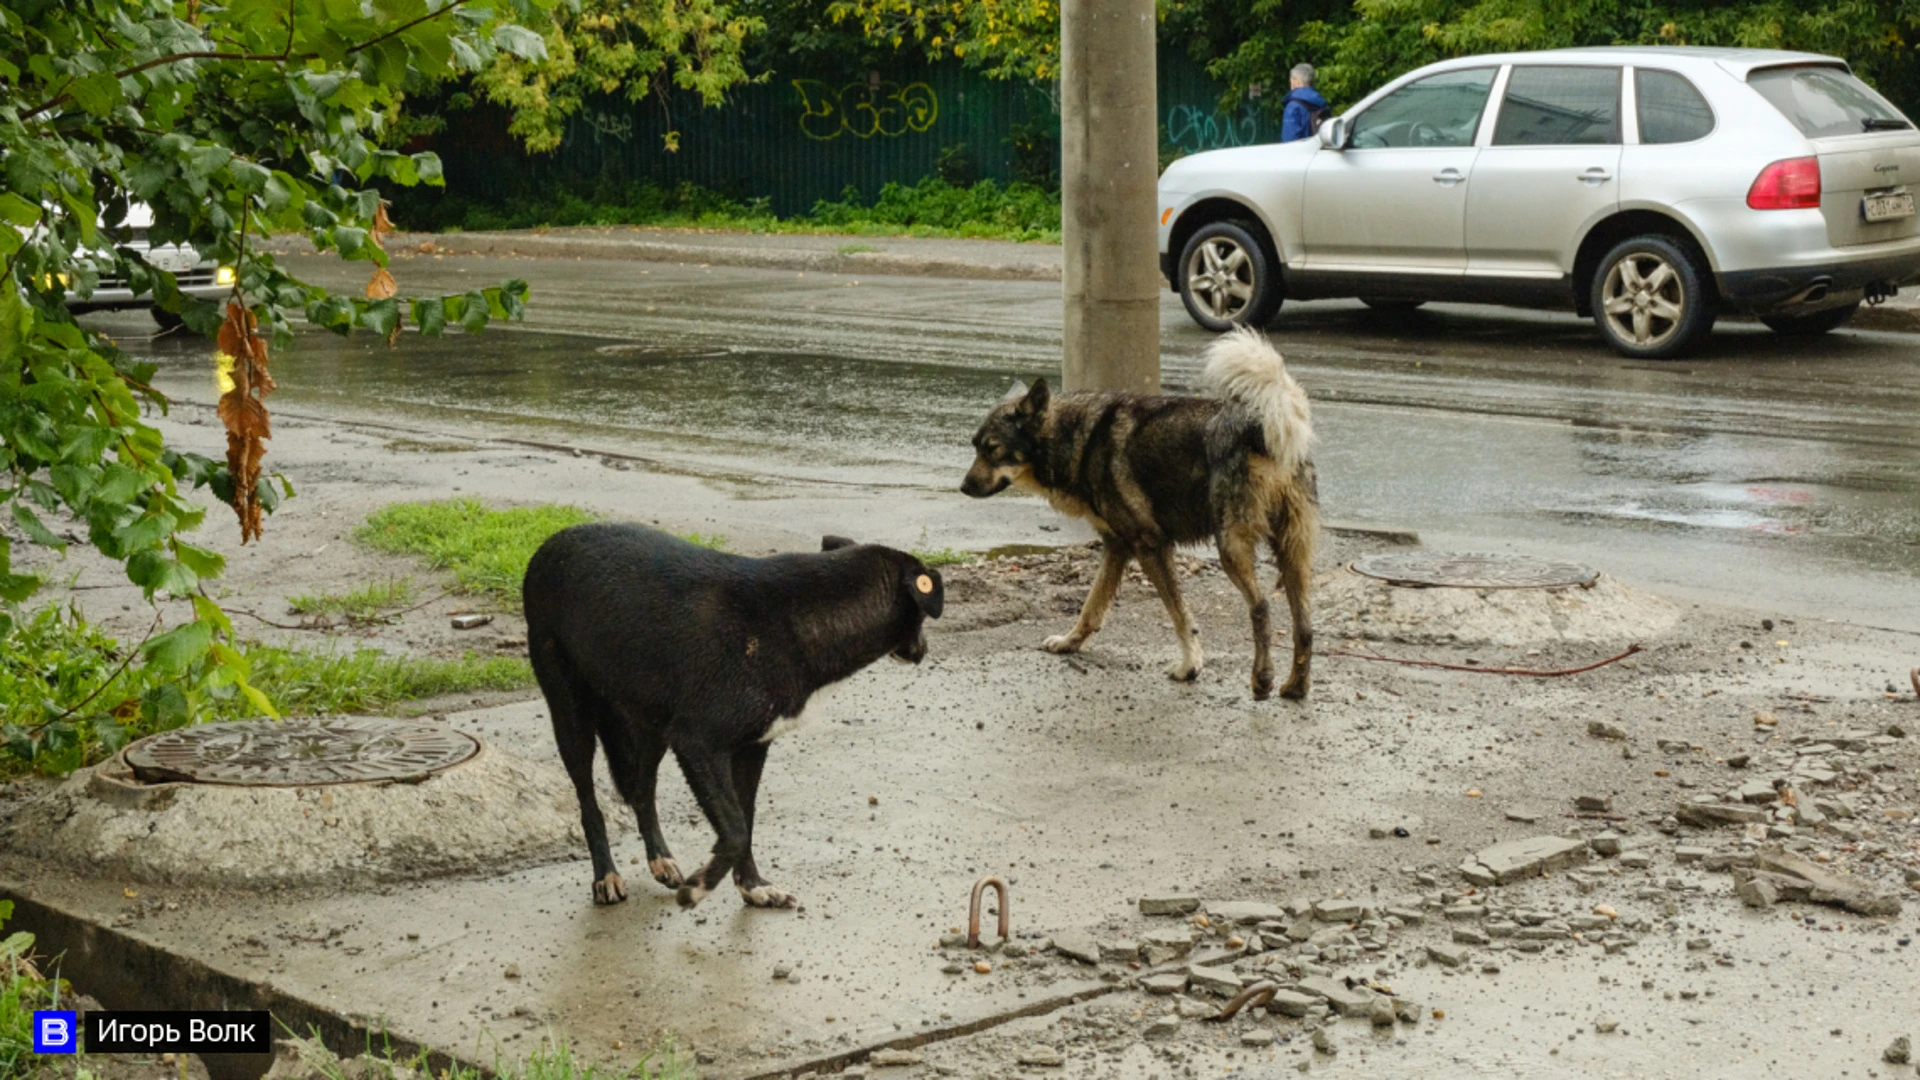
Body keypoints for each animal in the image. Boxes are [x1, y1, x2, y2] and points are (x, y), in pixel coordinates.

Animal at [526, 526, 944, 903]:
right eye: (922, 619)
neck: (801, 615)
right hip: (571, 713)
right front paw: (701, 886)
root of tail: (551, 544)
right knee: (588, 801)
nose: (924, 651)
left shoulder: (751, 747)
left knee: (643, 791)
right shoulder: (698, 743)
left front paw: (753, 887)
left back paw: (660, 858)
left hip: (651, 724)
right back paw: (606, 875)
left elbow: (745, 818)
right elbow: (736, 827)